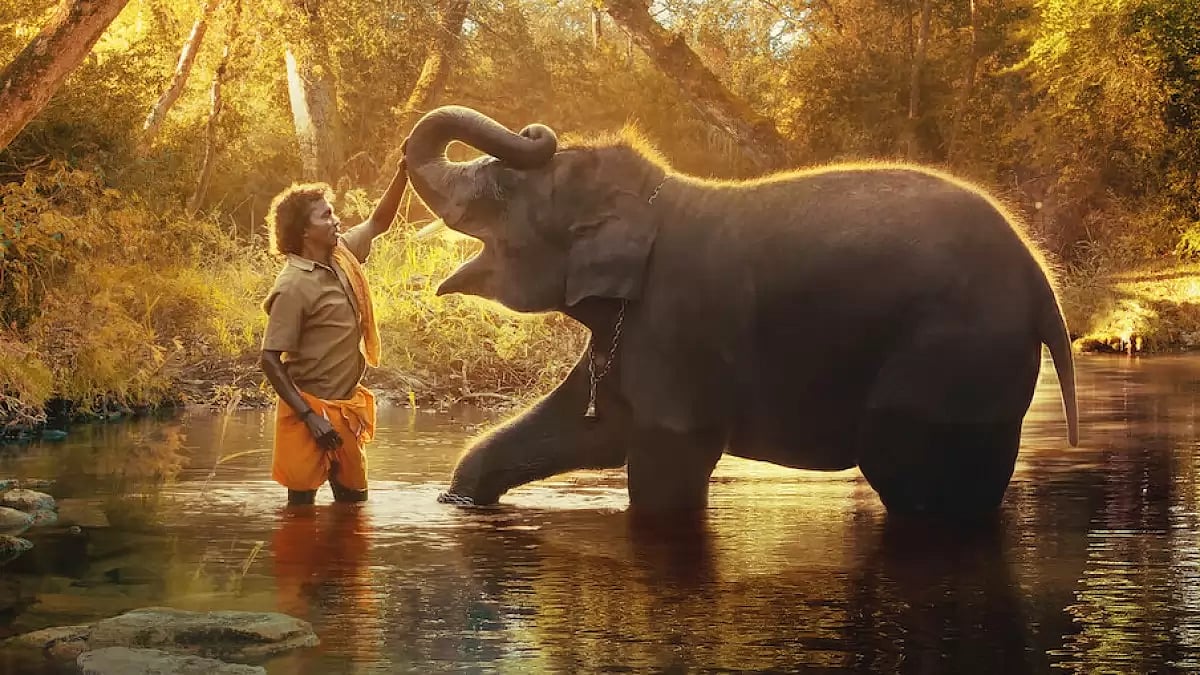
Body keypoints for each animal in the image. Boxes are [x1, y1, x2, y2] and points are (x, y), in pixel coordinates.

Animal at [403, 104, 1079, 517]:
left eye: (502, 189)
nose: (536, 131)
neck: (654, 199)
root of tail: (1042, 285)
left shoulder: (678, 325)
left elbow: (666, 464)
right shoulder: (633, 331)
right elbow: (588, 428)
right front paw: (459, 501)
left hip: (952, 354)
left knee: (910, 473)